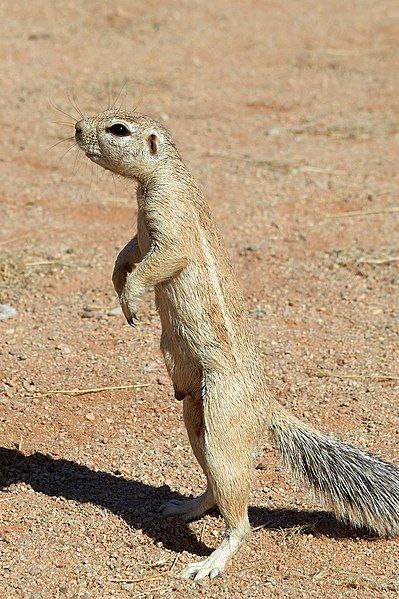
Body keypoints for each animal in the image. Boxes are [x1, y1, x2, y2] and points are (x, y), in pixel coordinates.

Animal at [73, 109, 398, 580]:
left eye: (119, 129)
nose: (78, 128)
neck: (160, 179)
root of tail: (267, 405)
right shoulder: (140, 234)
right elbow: (126, 254)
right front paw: (119, 286)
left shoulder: (171, 225)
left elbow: (160, 260)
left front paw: (131, 300)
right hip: (195, 412)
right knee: (213, 483)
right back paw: (185, 506)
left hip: (224, 418)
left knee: (238, 514)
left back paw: (210, 564)